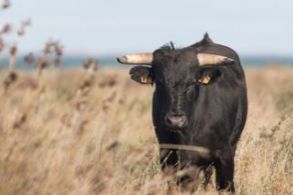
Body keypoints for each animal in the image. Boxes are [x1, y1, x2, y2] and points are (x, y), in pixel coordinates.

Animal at [116, 34, 246, 192]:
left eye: (192, 83)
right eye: (160, 82)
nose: (175, 120)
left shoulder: (225, 156)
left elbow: (225, 187)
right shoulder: (168, 156)